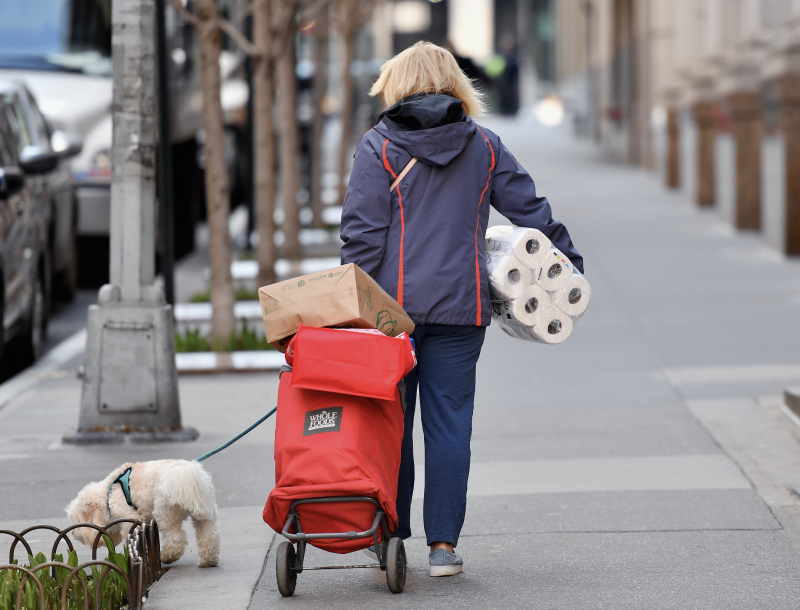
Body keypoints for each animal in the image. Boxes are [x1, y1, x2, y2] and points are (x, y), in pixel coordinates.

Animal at [66, 456, 220, 564]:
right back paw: (208, 559)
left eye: (77, 520)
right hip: (206, 510)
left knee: (176, 537)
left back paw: (168, 556)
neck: (108, 493)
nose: (73, 533)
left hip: (165, 512)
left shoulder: (129, 516)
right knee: (209, 533)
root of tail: (184, 472)